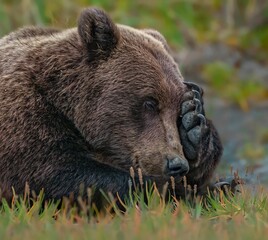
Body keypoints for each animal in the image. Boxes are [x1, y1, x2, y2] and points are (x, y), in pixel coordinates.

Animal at [0, 8, 222, 204]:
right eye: (150, 103)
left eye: (177, 110)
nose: (177, 164)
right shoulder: (26, 117)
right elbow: (54, 172)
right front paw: (175, 191)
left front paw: (192, 126)